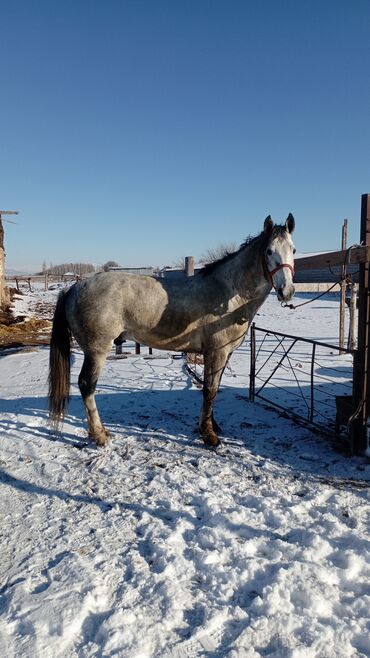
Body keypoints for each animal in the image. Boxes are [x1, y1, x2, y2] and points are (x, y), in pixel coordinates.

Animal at [49, 215, 296, 446]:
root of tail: (74, 287)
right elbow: (209, 390)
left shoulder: (225, 353)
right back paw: (99, 435)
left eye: (293, 250)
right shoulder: (216, 352)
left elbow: (214, 388)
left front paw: (212, 425)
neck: (228, 293)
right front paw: (209, 435)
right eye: (269, 251)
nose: (287, 291)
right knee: (86, 385)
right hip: (97, 351)